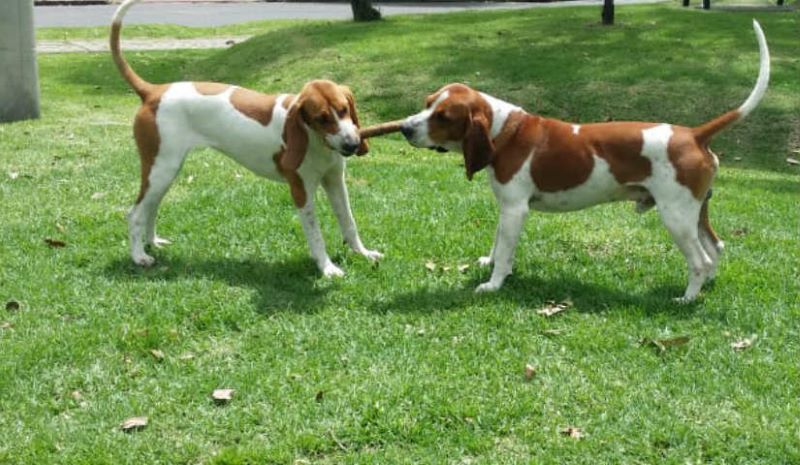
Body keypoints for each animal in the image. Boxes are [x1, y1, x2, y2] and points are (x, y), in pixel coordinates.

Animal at [111, 0, 382, 276]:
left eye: (344, 109)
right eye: (321, 119)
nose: (352, 144)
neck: (315, 140)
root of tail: (153, 91)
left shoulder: (335, 181)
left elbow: (349, 222)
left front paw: (362, 253)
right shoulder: (301, 190)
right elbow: (316, 236)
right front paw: (327, 268)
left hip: (165, 173)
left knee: (151, 207)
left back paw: (152, 242)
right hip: (160, 169)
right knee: (135, 214)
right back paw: (139, 256)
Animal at [400, 20, 768, 300]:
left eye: (443, 116)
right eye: (428, 102)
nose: (404, 128)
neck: (504, 129)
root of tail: (693, 134)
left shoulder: (516, 209)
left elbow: (505, 252)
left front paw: (494, 284)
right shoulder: (505, 209)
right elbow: (497, 242)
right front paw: (488, 264)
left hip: (675, 216)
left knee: (701, 260)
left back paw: (687, 299)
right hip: (696, 212)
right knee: (716, 248)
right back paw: (705, 287)